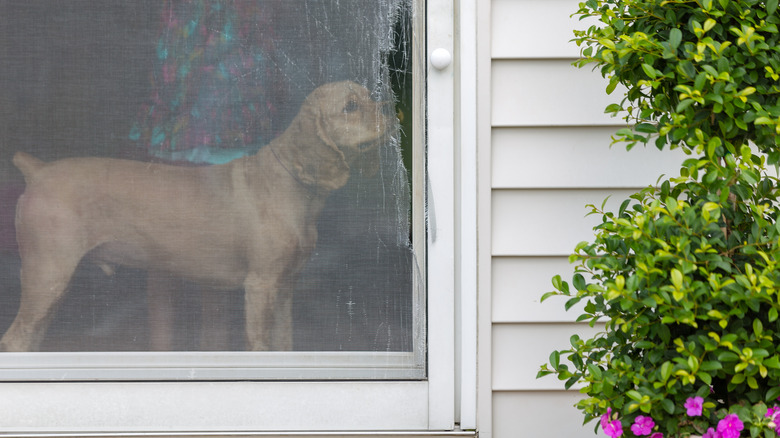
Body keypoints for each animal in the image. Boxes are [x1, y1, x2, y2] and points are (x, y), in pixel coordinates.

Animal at [0, 80, 390, 350]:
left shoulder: (285, 287)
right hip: (46, 275)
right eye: (350, 106)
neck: (292, 185)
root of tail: (38, 170)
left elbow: (285, 343)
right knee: (14, 340)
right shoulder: (260, 285)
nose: (388, 111)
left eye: (369, 96)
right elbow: (259, 345)